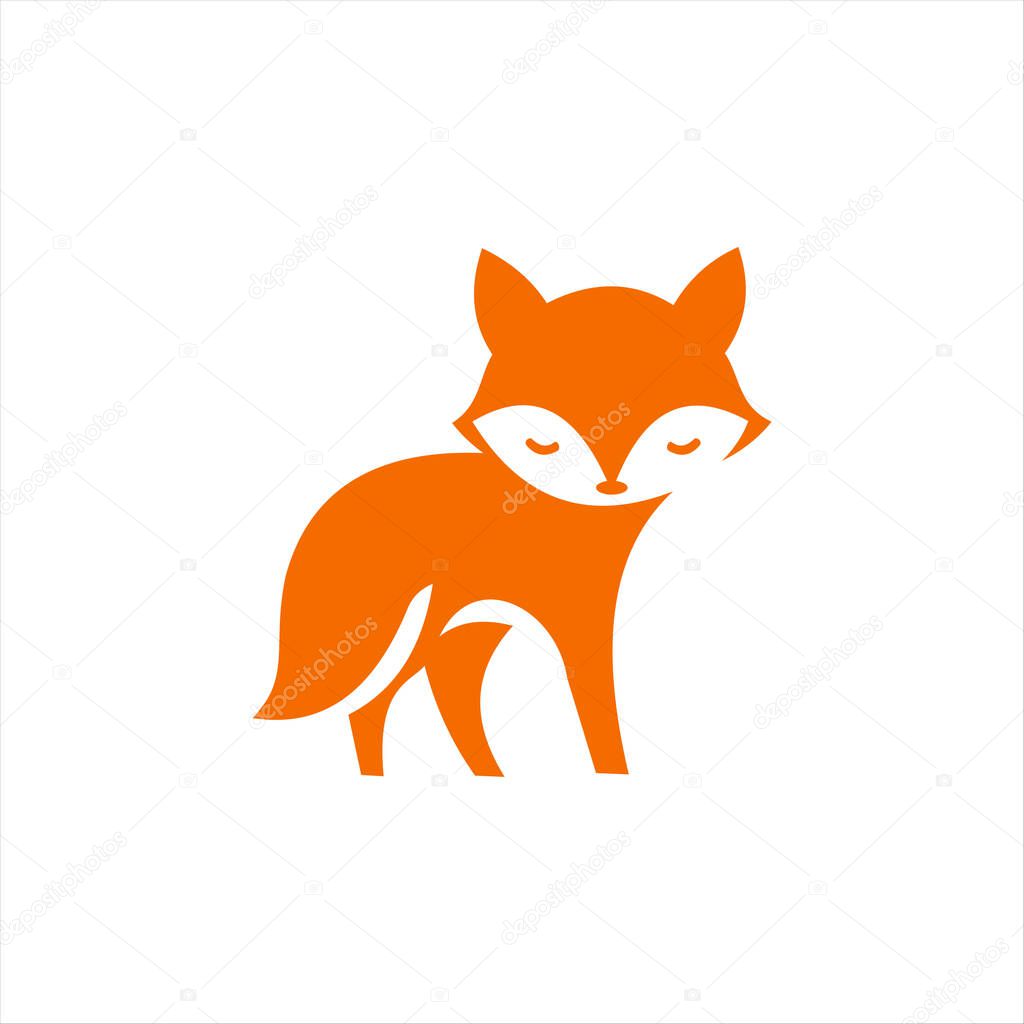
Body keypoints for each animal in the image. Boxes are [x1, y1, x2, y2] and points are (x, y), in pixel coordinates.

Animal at [255, 248, 769, 775]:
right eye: (543, 442)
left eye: (681, 442)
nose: (611, 482)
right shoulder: (579, 626)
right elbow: (599, 715)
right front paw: (614, 775)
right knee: (375, 704)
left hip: (460, 632)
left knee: (426, 702)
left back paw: (486, 775)